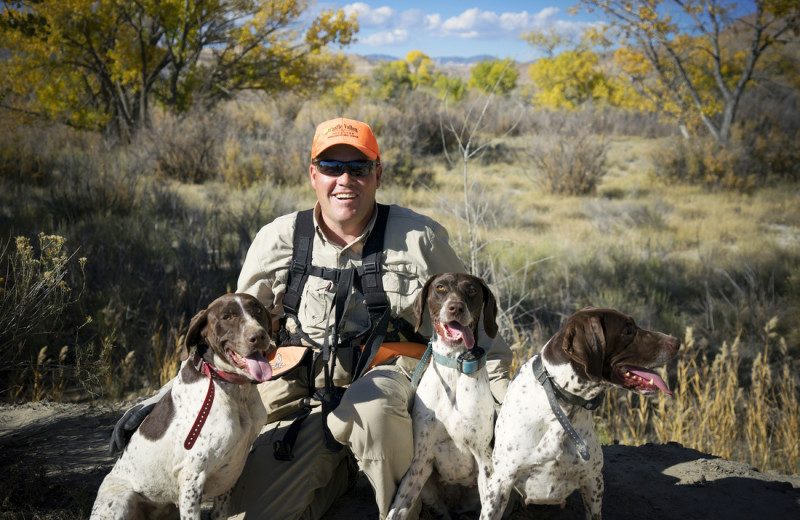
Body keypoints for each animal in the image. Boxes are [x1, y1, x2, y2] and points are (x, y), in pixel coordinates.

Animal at [92, 294, 276, 520]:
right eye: (227, 317)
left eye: (257, 309)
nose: (258, 336)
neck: (232, 389)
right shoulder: (191, 476)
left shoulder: (228, 475)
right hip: (121, 501)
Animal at [390, 274, 500, 516]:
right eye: (440, 288)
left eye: (472, 290)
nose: (456, 307)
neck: (454, 365)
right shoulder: (419, 462)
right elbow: (394, 511)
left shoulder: (484, 460)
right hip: (427, 490)